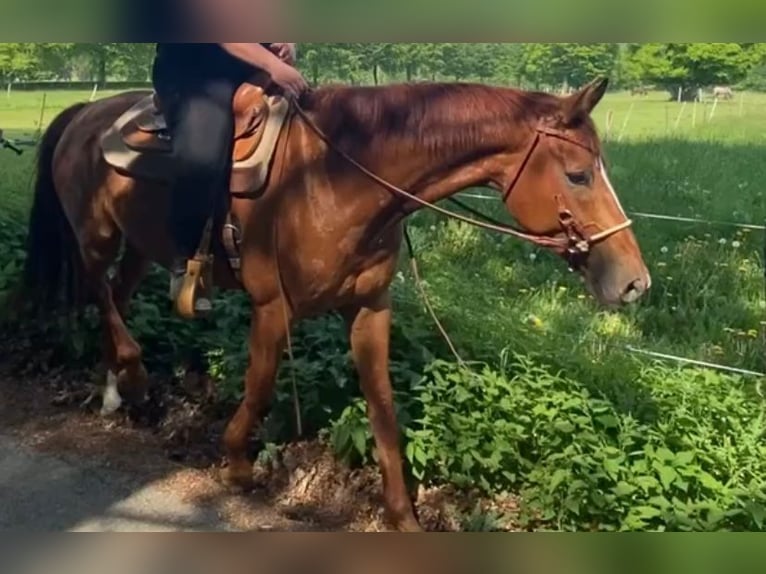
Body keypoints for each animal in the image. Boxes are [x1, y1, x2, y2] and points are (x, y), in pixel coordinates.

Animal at [21, 77, 652, 536]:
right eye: (578, 174)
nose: (635, 284)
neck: (337, 178)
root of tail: (86, 112)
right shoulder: (272, 307)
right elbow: (260, 384)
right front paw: (238, 465)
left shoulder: (370, 309)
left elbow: (383, 406)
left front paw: (401, 514)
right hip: (96, 233)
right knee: (99, 290)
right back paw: (130, 373)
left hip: (141, 245)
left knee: (119, 295)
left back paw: (116, 391)